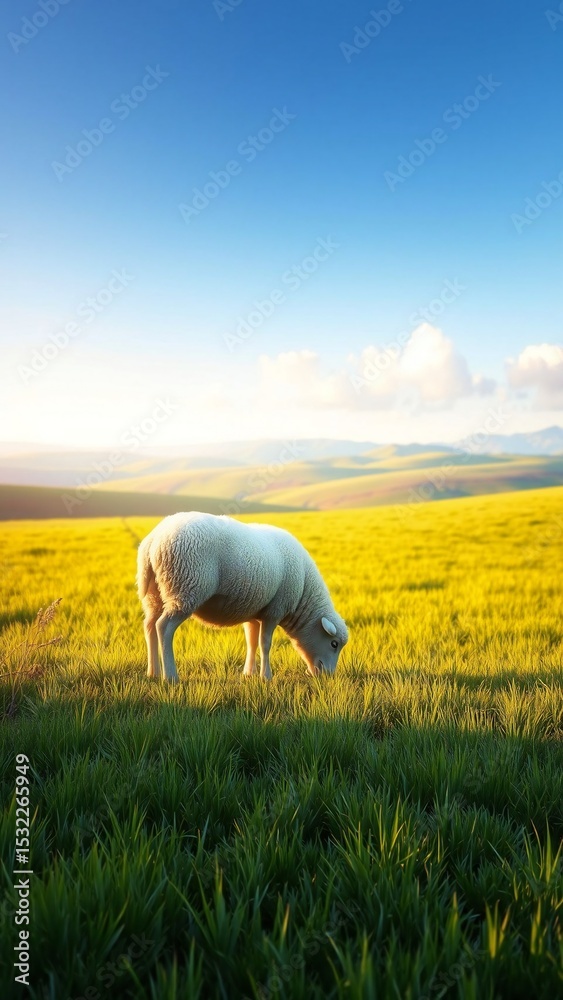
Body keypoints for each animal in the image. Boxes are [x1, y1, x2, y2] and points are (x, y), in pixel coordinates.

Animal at [137, 511, 348, 681]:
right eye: (334, 644)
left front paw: (249, 673)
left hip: (156, 594)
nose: (328, 676)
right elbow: (265, 644)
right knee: (164, 627)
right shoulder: (274, 610)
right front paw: (266, 676)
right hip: (185, 588)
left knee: (149, 626)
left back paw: (153, 672)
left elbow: (251, 641)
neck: (303, 592)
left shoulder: (254, 612)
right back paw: (170, 676)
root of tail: (154, 540)